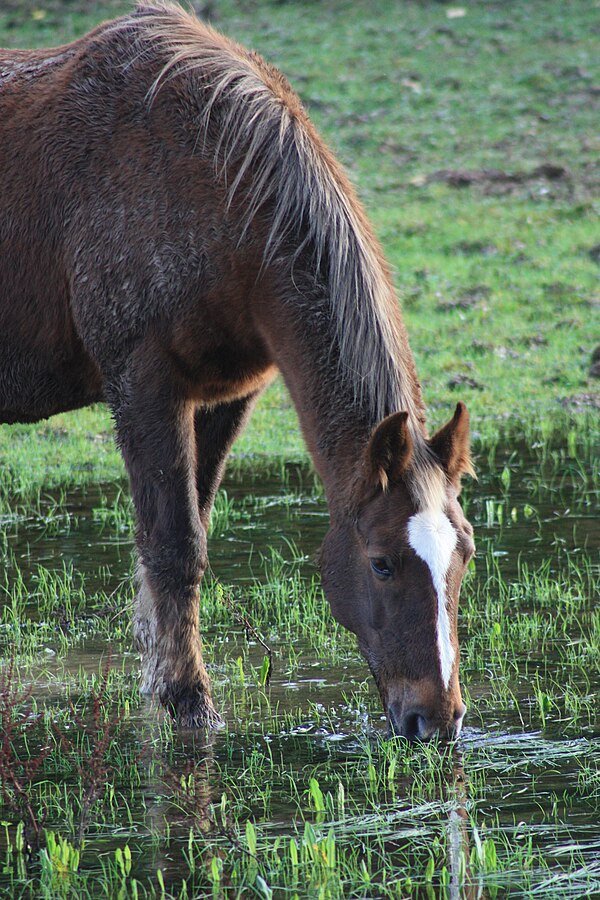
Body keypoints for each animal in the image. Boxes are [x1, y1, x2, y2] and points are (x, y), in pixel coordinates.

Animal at [0, 0, 476, 740]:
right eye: (381, 563)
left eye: (466, 555)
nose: (439, 719)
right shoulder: (144, 383)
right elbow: (173, 545)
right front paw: (187, 699)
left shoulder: (226, 394)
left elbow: (186, 533)